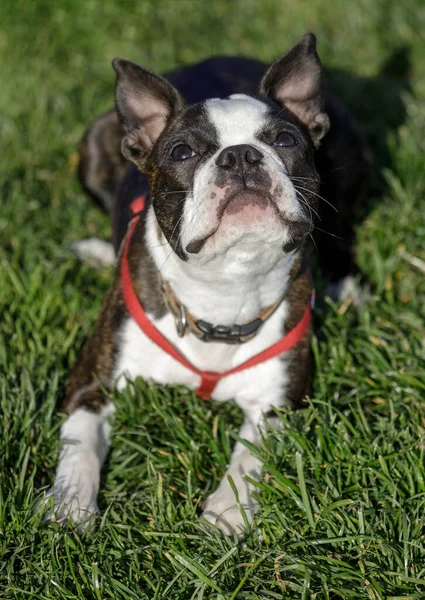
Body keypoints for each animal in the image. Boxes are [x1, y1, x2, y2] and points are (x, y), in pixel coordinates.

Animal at [46, 35, 370, 536]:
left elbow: (251, 456)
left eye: (285, 140)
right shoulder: (90, 384)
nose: (240, 155)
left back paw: (347, 284)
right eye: (181, 152)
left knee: (340, 226)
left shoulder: (275, 404)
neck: (227, 286)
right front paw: (70, 505)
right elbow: (79, 443)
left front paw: (228, 510)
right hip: (93, 146)